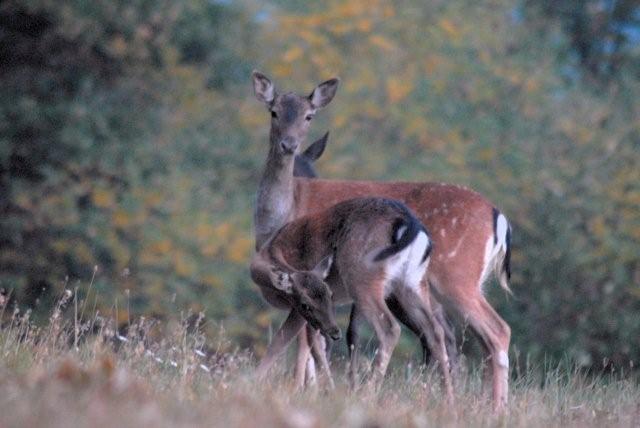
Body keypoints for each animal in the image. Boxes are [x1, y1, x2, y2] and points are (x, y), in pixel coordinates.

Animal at [250, 197, 450, 394]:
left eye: (330, 295)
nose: (334, 332)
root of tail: (410, 225)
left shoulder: (297, 309)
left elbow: (283, 342)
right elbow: (312, 346)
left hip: (362, 276)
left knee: (390, 328)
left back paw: (367, 394)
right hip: (412, 283)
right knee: (435, 331)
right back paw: (448, 399)